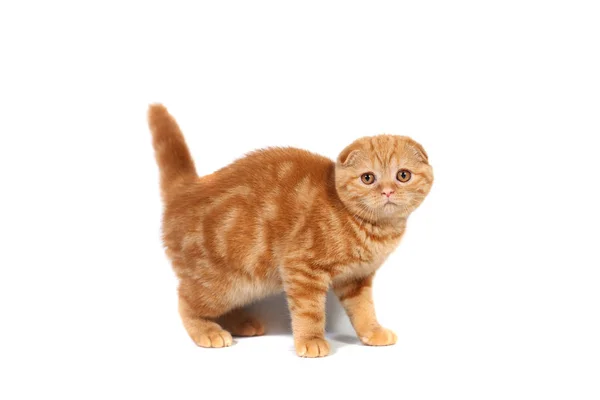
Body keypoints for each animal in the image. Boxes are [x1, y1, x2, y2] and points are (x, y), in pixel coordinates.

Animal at [148, 104, 434, 358]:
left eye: (403, 175)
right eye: (368, 178)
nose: (387, 191)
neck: (372, 228)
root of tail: (188, 189)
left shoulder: (356, 279)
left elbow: (363, 309)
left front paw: (372, 332)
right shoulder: (302, 268)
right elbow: (309, 311)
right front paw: (311, 340)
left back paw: (242, 324)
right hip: (220, 283)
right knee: (186, 301)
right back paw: (207, 331)